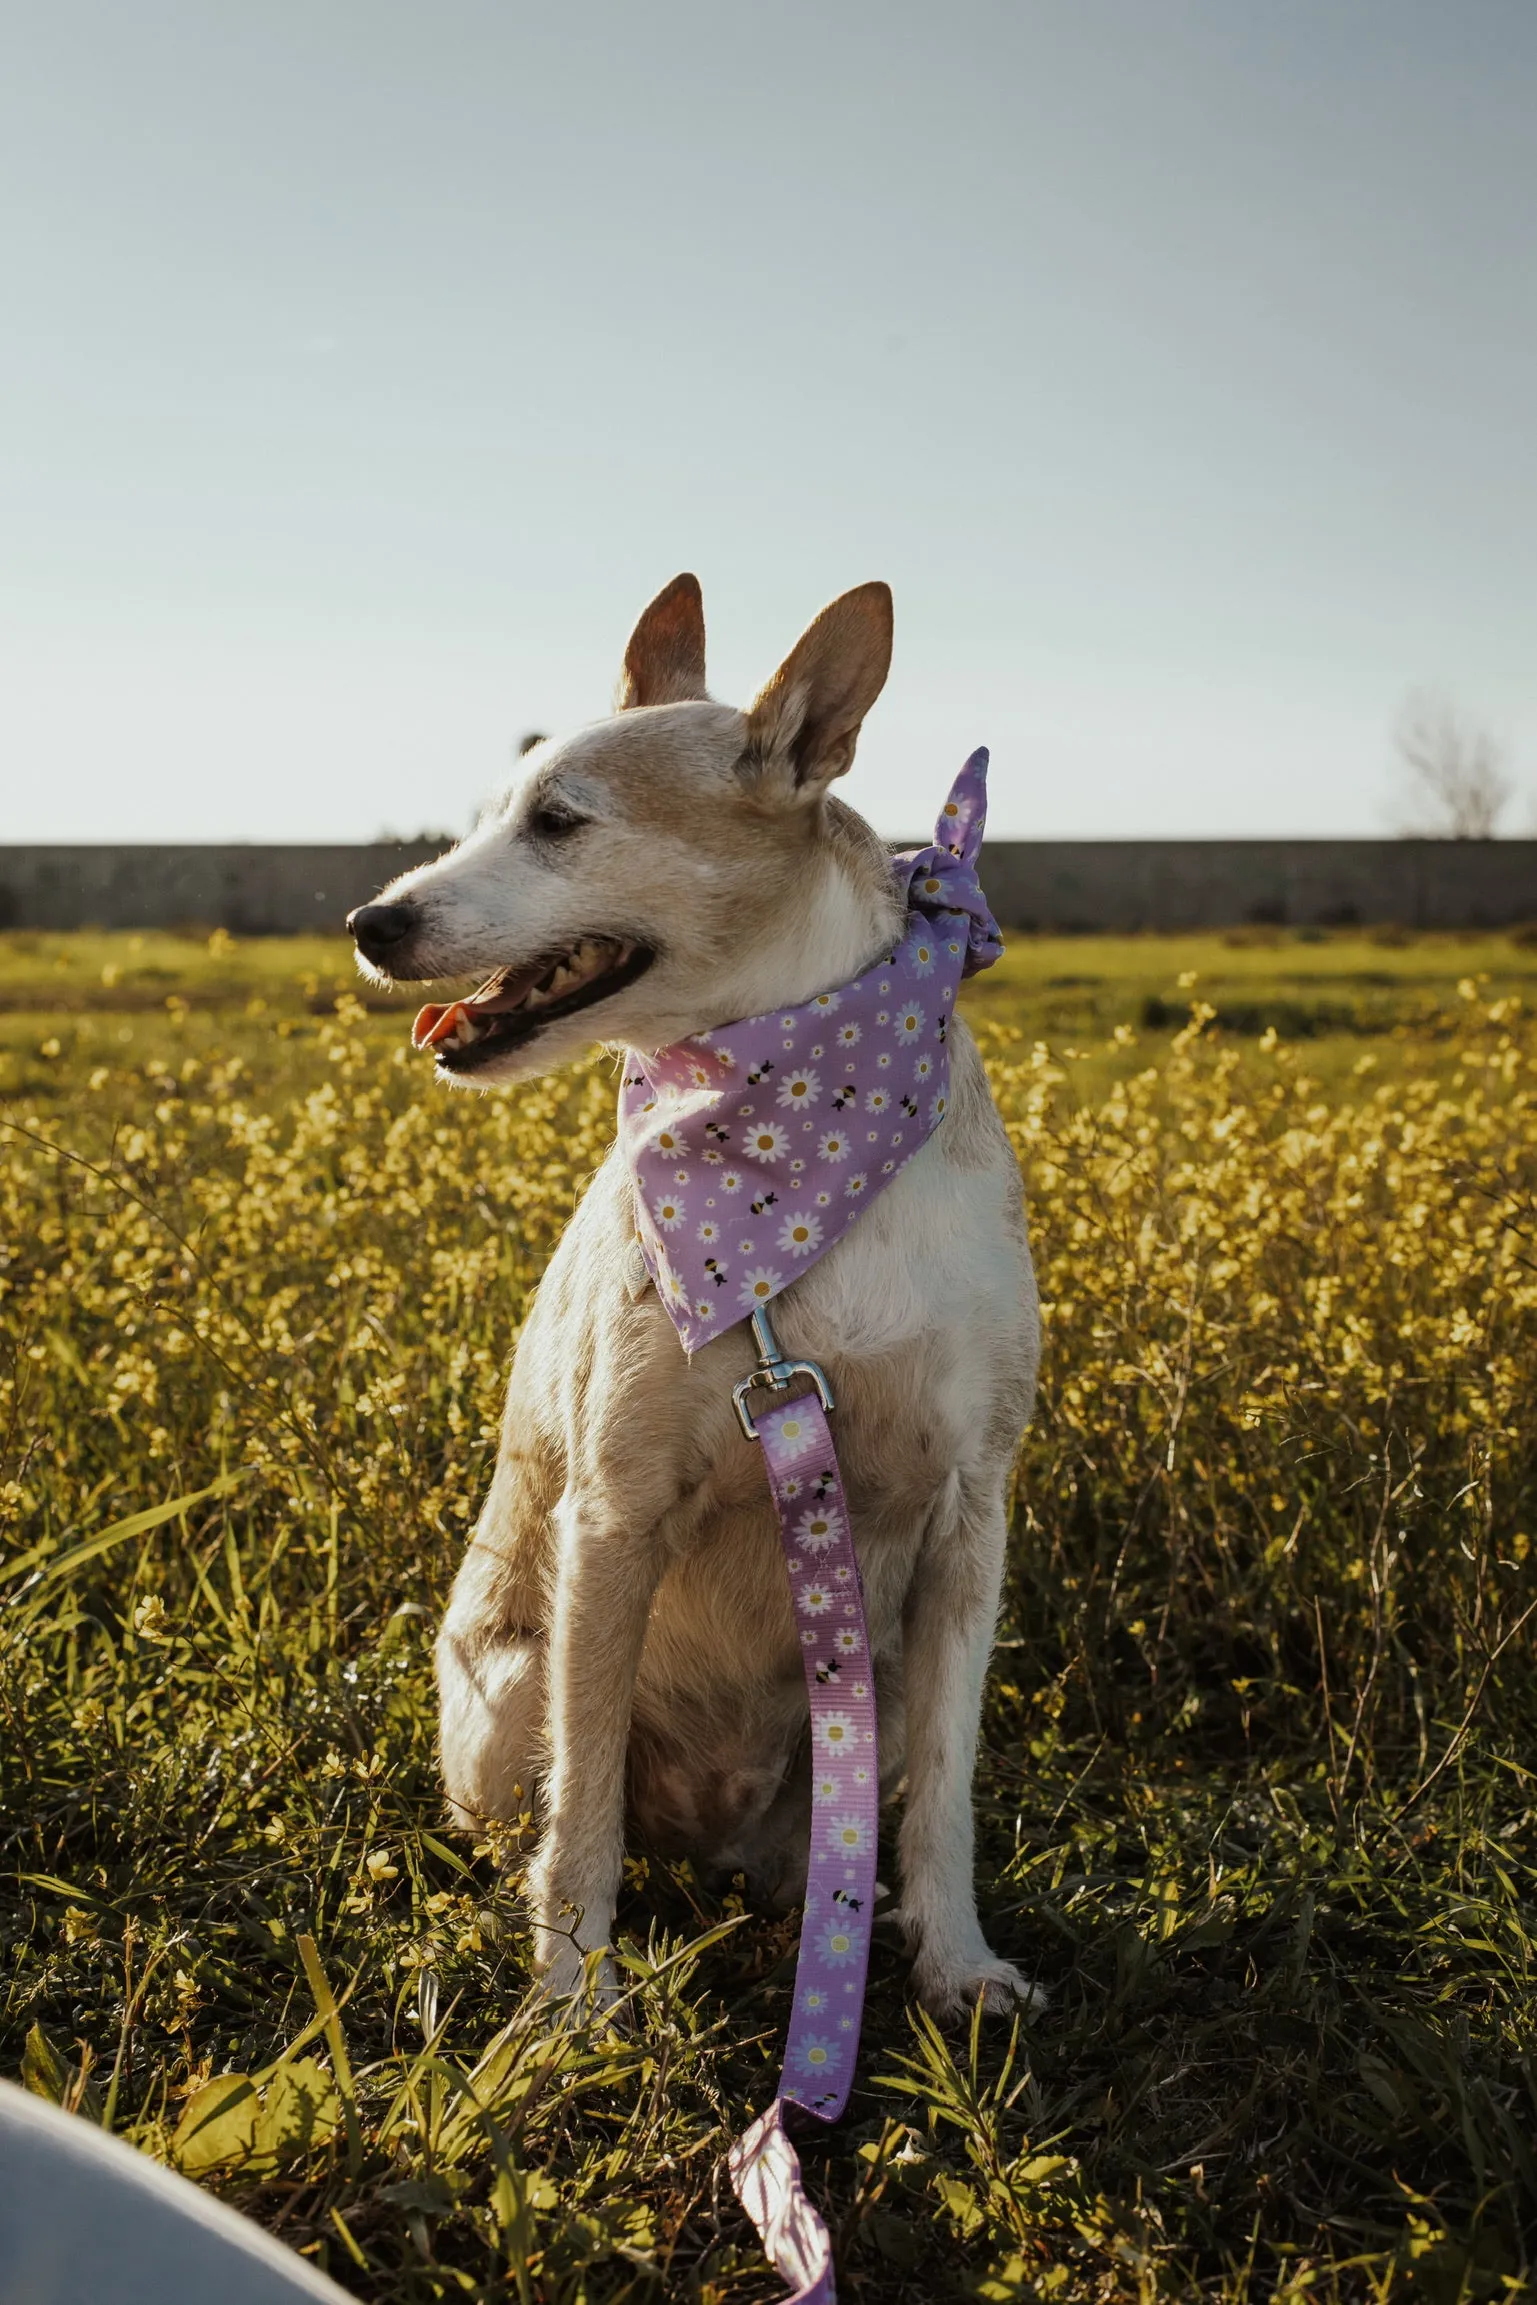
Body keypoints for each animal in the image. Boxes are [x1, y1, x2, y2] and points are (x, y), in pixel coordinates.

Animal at [350, 576, 1046, 2019]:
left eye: (560, 822)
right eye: (487, 814)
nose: (370, 925)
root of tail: (714, 1841)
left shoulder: (969, 1516)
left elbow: (948, 1796)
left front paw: (957, 1963)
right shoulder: (616, 1513)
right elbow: (582, 1813)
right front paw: (571, 2001)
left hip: (865, 1692)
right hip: (512, 1684)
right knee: (549, 1806)